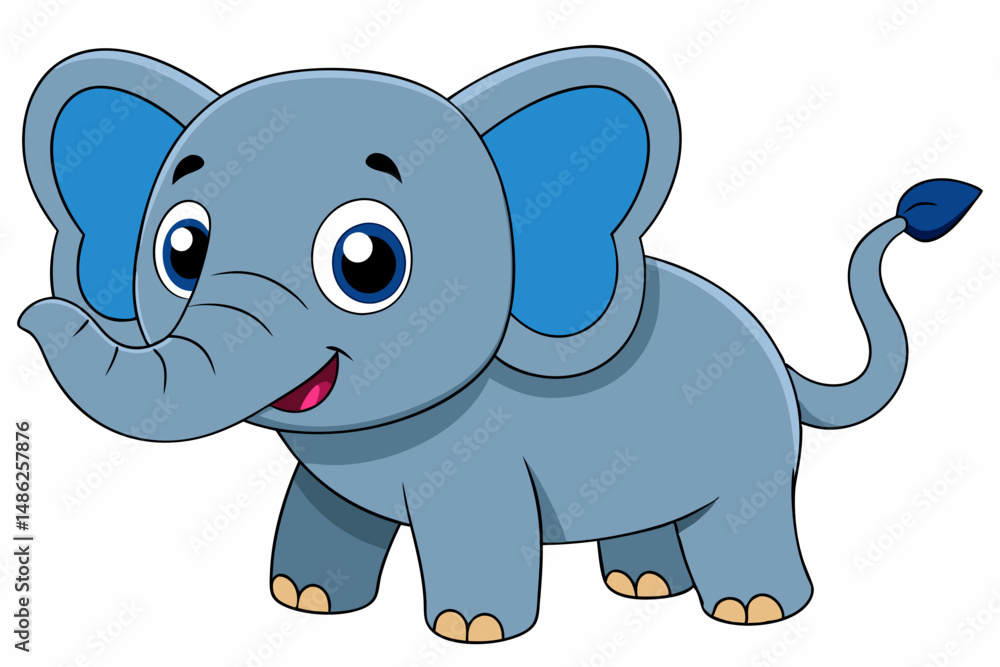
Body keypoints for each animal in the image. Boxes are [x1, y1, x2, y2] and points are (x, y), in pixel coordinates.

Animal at [19, 46, 981, 643]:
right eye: (181, 249)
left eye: (367, 263)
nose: (28, 316)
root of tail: (776, 351)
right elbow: (323, 508)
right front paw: (309, 603)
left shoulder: (480, 458)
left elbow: (476, 523)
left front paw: (470, 631)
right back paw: (643, 587)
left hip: (751, 450)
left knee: (746, 512)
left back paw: (754, 612)